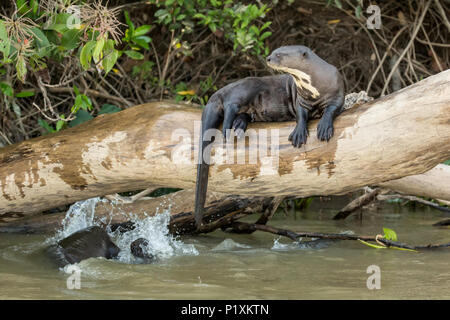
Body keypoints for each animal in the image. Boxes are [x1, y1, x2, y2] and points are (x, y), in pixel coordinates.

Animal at [193, 45, 344, 228]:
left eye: (279, 54)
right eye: (273, 52)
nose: (268, 58)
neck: (314, 87)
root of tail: (219, 91)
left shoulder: (338, 92)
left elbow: (332, 109)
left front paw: (324, 126)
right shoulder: (300, 100)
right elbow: (301, 115)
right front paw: (299, 133)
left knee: (240, 111)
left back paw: (238, 126)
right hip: (247, 87)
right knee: (231, 104)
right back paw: (229, 128)